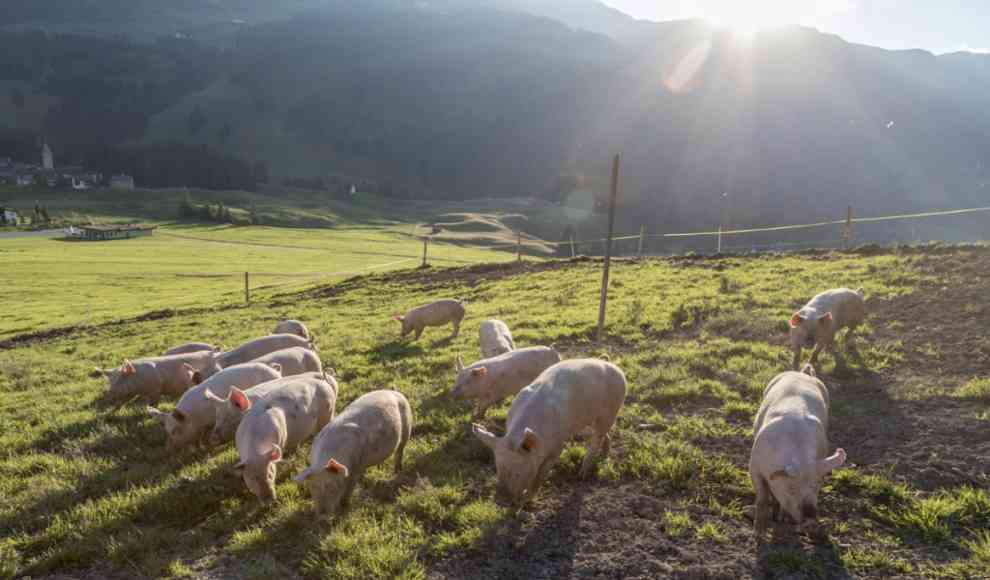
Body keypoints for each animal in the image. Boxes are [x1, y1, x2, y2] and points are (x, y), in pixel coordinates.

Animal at [149, 362, 284, 454]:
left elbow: (205, 436)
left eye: (175, 430)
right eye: (167, 430)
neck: (194, 417)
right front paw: (200, 449)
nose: (167, 449)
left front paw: (207, 448)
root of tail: (274, 371)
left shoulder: (208, 422)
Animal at [472, 358, 628, 502]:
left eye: (518, 472)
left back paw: (582, 474)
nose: (501, 500)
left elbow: (540, 475)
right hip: (587, 420)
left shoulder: (556, 447)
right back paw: (604, 455)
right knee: (601, 435)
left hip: (612, 410)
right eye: (498, 467)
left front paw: (527, 500)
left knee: (597, 439)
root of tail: (617, 368)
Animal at [752, 364, 844, 536]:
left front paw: (782, 519)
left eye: (816, 485)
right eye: (792, 489)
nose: (810, 515)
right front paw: (758, 533)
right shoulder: (754, 467)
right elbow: (762, 498)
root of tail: (803, 374)